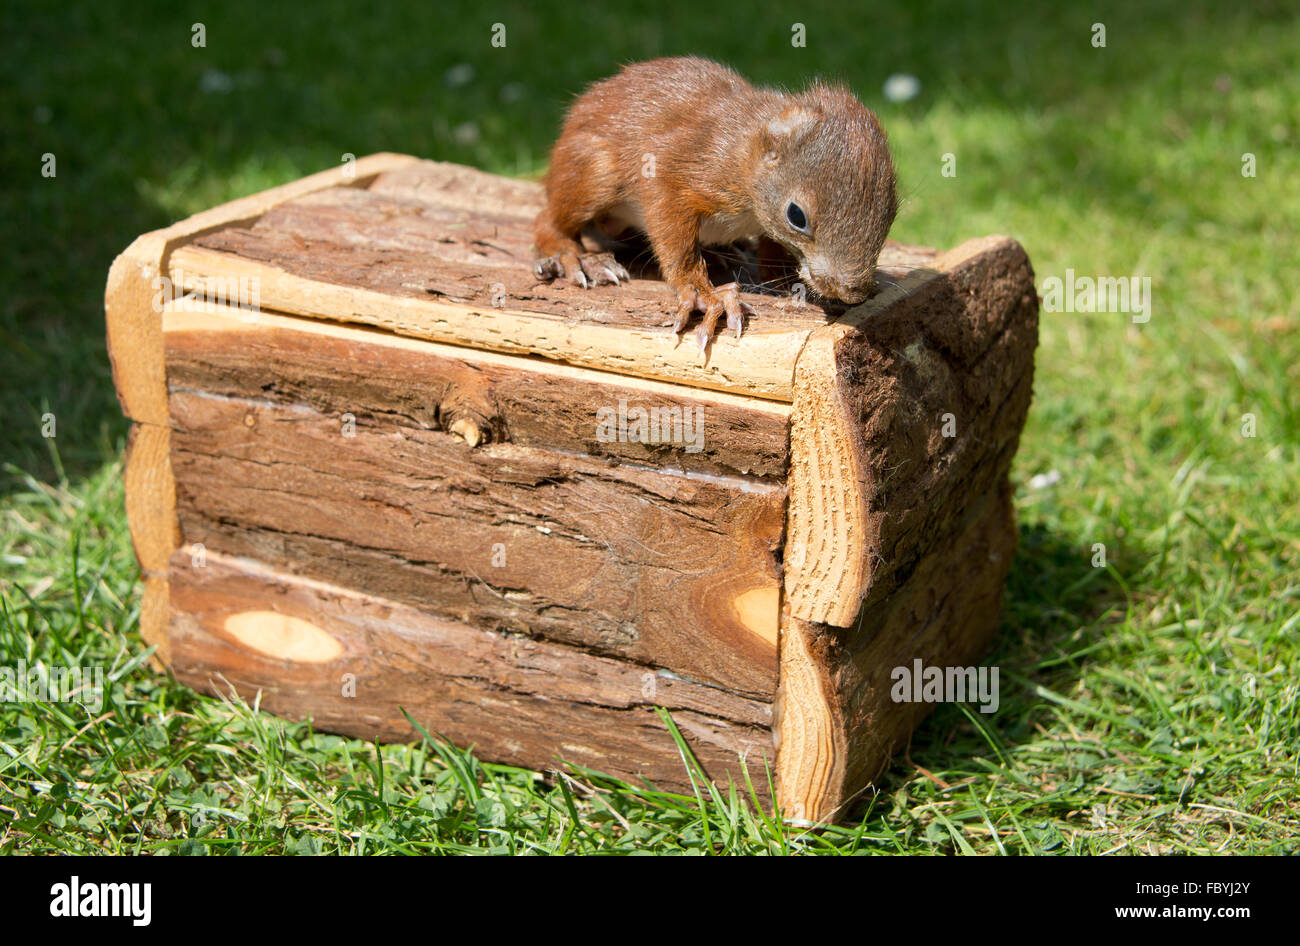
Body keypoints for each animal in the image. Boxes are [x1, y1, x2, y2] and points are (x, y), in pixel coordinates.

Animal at [533, 56, 899, 350]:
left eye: (891, 214)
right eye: (796, 215)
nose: (853, 291)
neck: (745, 150)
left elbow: (771, 250)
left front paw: (782, 279)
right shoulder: (679, 170)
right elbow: (675, 240)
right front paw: (703, 295)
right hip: (594, 173)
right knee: (548, 221)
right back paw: (575, 258)